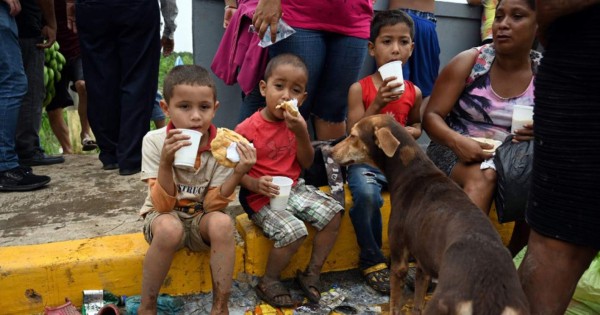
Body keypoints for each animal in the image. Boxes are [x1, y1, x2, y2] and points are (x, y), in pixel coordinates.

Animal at [328, 115, 528, 315]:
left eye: (353, 135)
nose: (329, 151)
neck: (411, 170)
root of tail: (490, 288)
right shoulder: (423, 264)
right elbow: (417, 302)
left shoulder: (399, 261)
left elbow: (395, 304)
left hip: (440, 303)